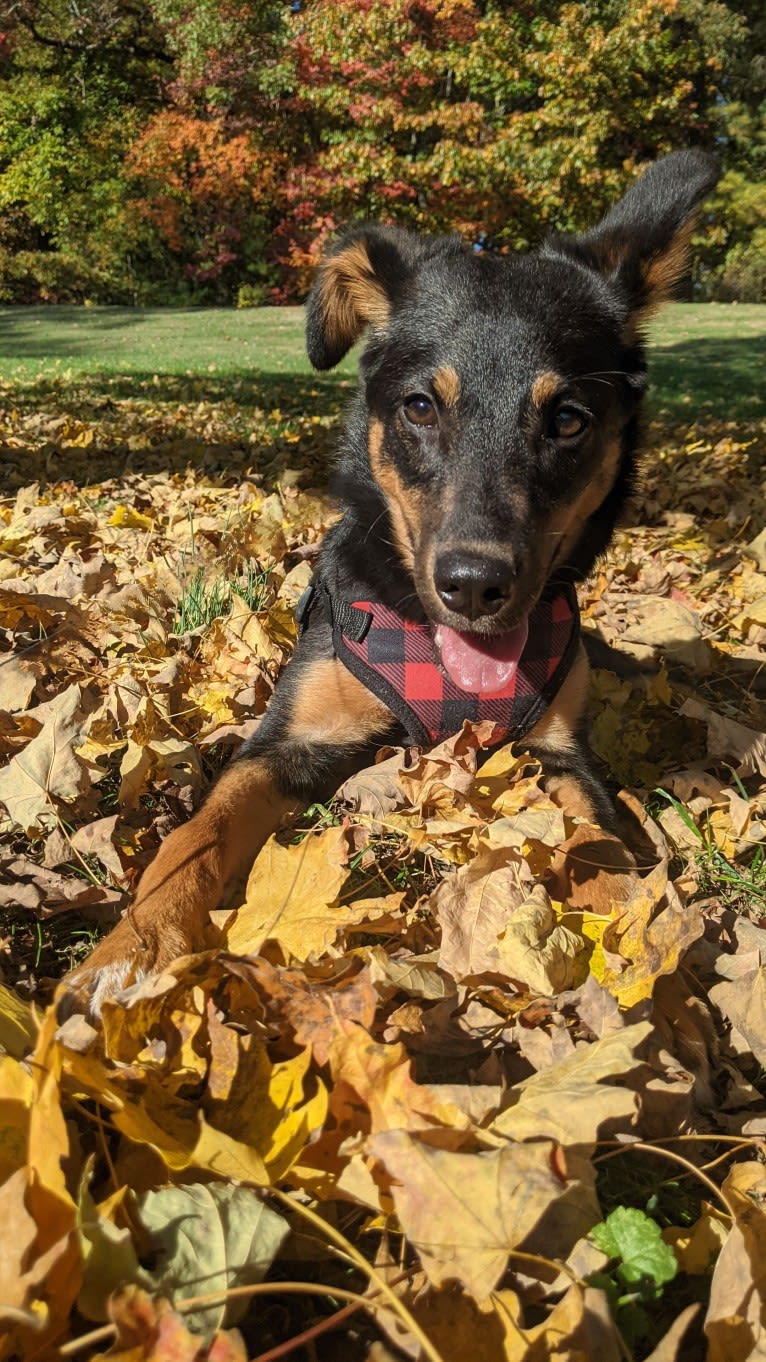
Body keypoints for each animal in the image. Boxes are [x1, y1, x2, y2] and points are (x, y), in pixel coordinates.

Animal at [65, 151, 714, 1024]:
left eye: (569, 419)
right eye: (419, 406)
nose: (475, 586)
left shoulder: (558, 753)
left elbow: (600, 841)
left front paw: (645, 949)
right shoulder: (291, 739)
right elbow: (195, 835)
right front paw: (130, 950)